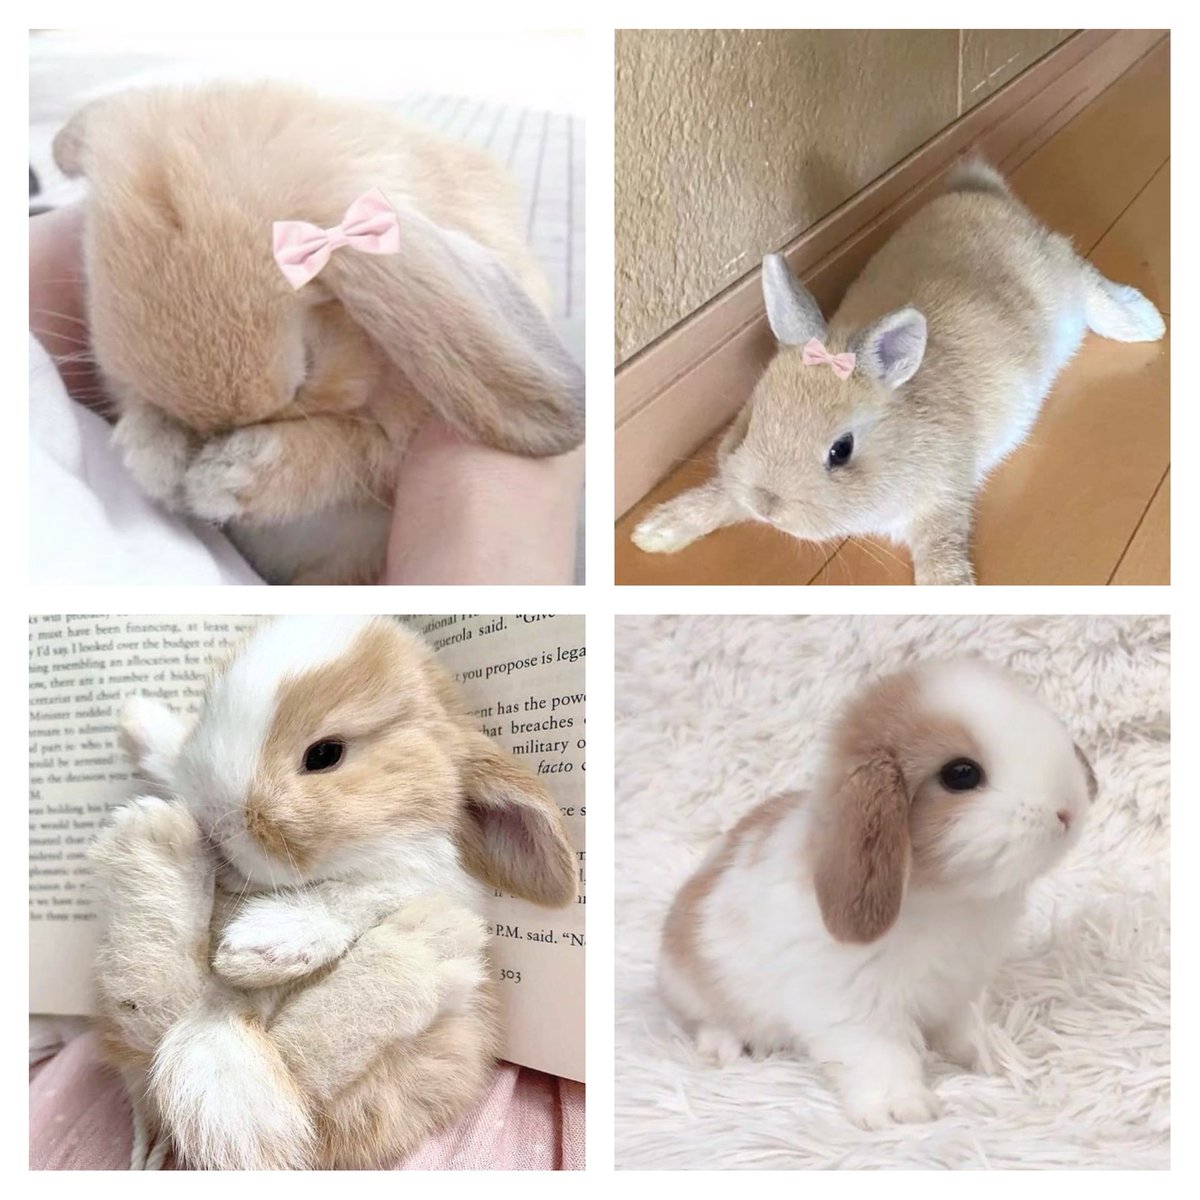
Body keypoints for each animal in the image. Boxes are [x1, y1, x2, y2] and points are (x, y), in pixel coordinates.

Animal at [53, 83, 585, 584]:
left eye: (307, 370)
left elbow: (349, 453)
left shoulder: (387, 455)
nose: (210, 445)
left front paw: (226, 476)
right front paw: (153, 456)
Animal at [86, 615, 577, 1169]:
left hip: (412, 1064)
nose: (213, 816)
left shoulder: (422, 877)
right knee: (161, 1015)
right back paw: (154, 841)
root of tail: (220, 1018)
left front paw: (259, 945)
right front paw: (139, 720)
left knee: (303, 1067)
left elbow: (357, 894)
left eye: (324, 755)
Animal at [631, 159, 1164, 584]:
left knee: (1088, 281)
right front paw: (655, 532)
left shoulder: (943, 498)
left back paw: (1144, 321)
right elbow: (721, 496)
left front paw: (951, 592)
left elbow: (941, 554)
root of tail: (984, 194)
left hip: (1062, 281)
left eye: (841, 451)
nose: (769, 508)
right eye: (751, 421)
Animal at [659, 658, 1097, 1129]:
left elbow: (965, 1032)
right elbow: (879, 1056)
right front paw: (901, 1109)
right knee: (705, 1019)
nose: (1067, 811)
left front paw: (995, 1057)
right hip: (694, 985)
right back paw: (727, 1047)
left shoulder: (959, 994)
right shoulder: (855, 1009)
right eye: (961, 774)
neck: (948, 901)